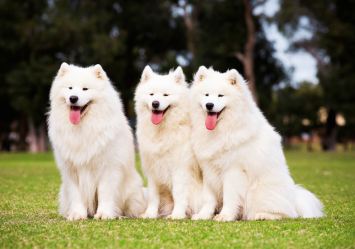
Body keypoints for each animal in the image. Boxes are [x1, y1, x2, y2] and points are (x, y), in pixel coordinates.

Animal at [48, 63, 147, 221]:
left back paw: (119, 215)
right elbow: (77, 196)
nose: (73, 98)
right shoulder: (72, 171)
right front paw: (77, 215)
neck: (83, 128)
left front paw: (104, 214)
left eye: (85, 89)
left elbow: (105, 194)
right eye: (70, 88)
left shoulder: (108, 168)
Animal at [135, 65, 204, 219]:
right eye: (151, 94)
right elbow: (153, 196)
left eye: (166, 95)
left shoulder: (180, 169)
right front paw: (150, 214)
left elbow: (179, 195)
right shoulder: (153, 169)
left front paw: (177, 214)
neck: (163, 131)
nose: (155, 103)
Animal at [191, 66, 324, 222]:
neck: (221, 130)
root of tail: (295, 199)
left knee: (288, 214)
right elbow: (208, 199)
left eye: (220, 96)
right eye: (206, 95)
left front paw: (225, 216)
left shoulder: (233, 171)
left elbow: (230, 197)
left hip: (257, 191)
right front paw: (203, 215)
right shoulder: (208, 170)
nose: (209, 105)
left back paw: (263, 215)